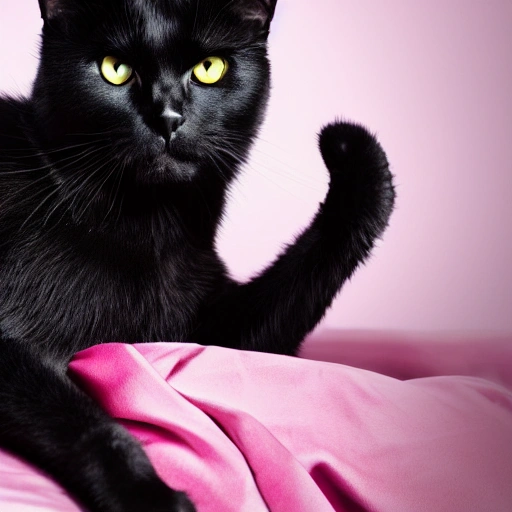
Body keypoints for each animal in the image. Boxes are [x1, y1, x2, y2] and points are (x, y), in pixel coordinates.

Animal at [0, 0, 396, 510]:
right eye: (114, 69)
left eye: (209, 68)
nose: (168, 116)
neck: (150, 229)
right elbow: (86, 424)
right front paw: (151, 496)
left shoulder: (211, 332)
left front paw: (354, 153)